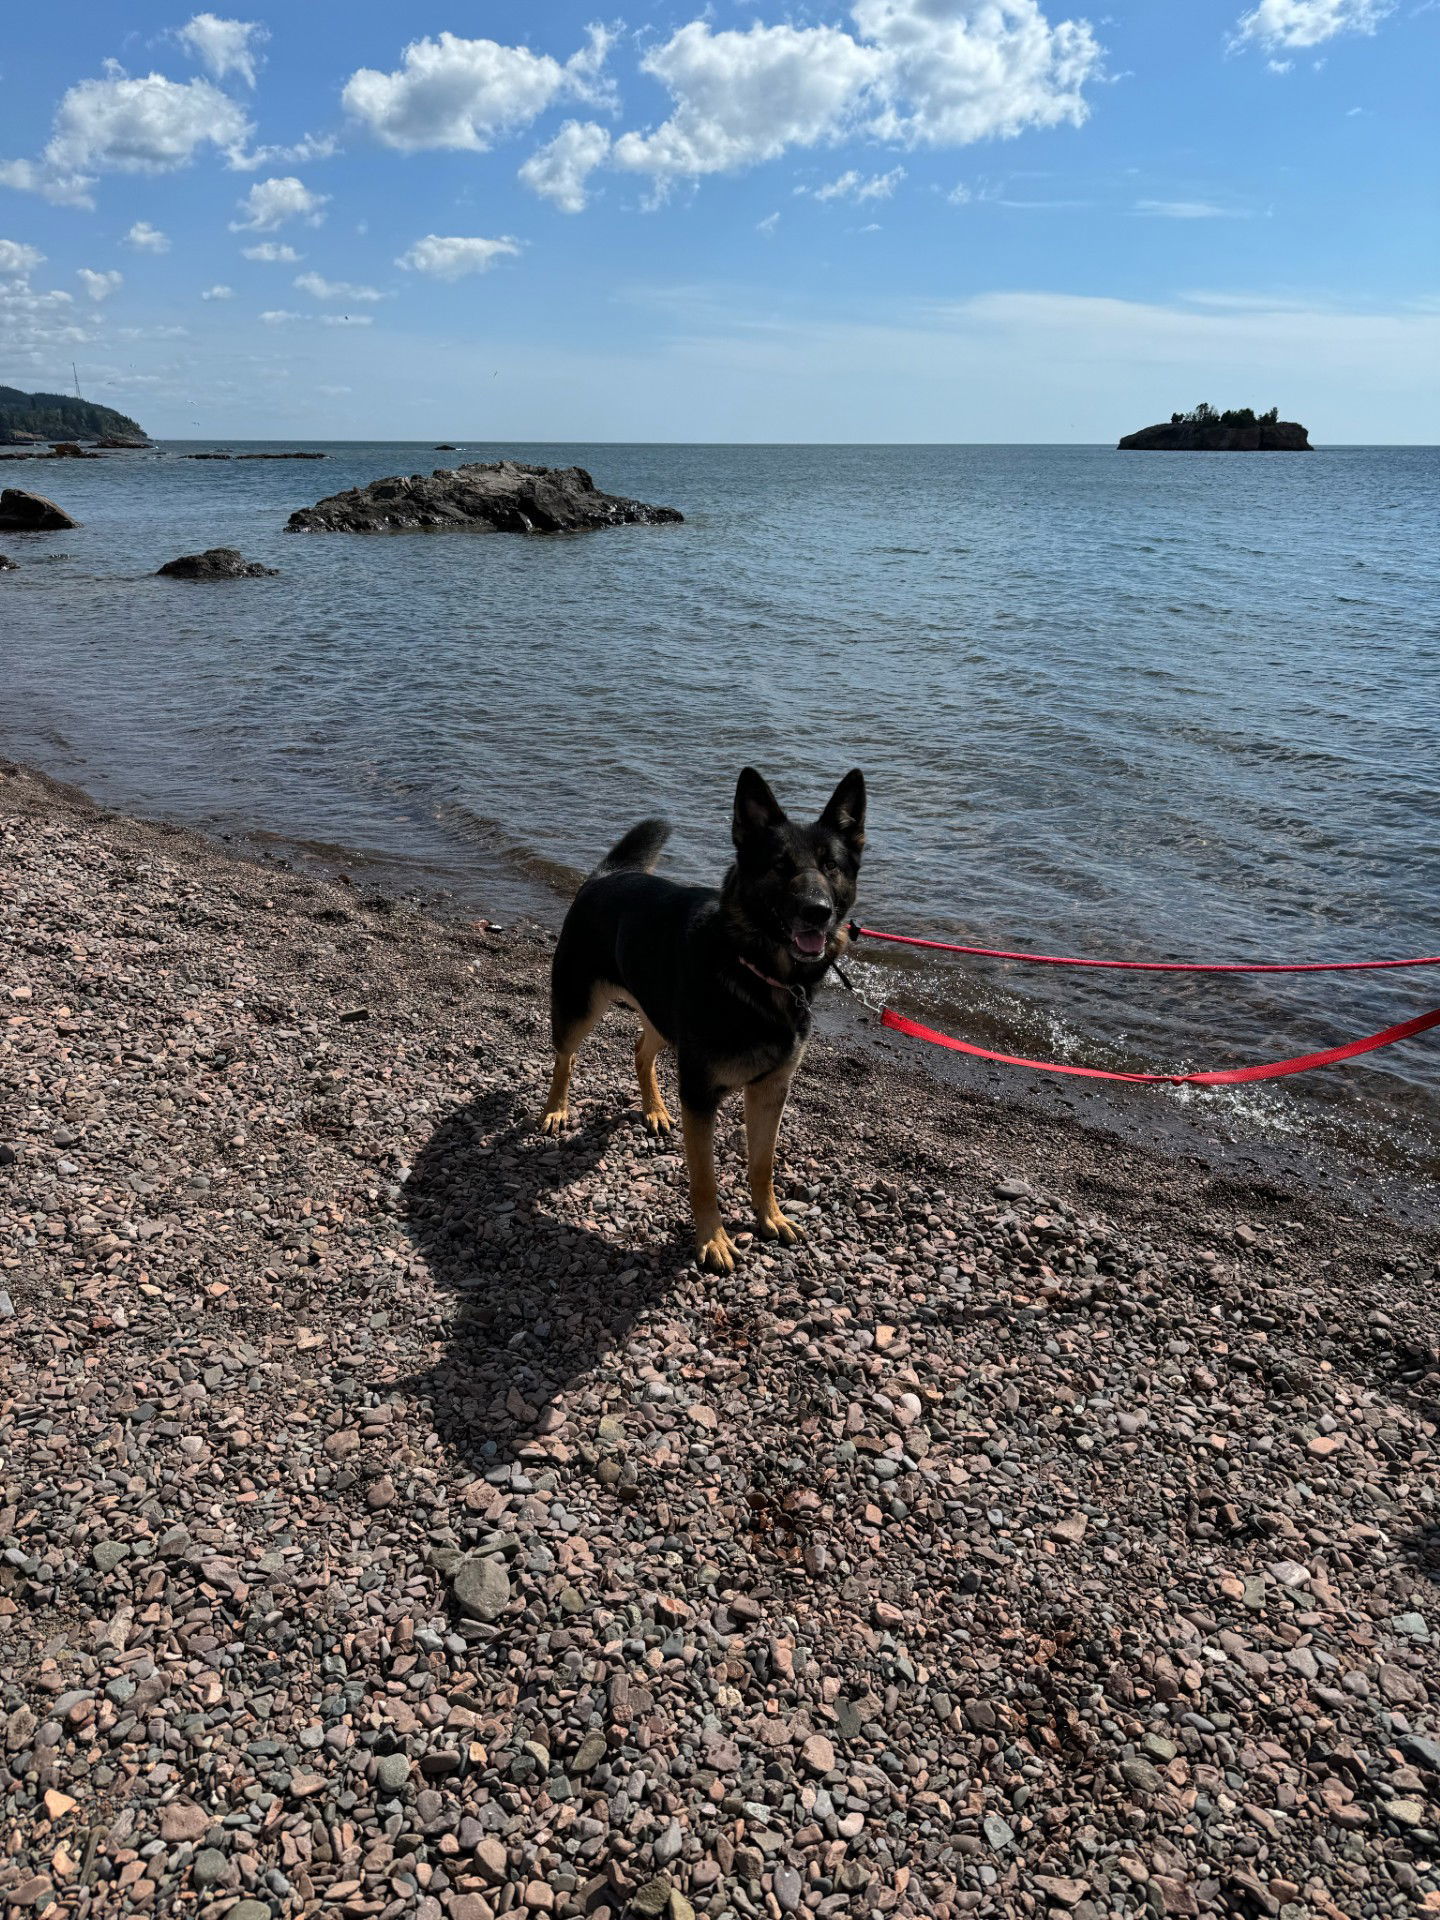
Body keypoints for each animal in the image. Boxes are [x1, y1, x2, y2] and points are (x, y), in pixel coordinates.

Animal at [545, 764, 867, 1274]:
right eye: (781, 866)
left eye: (831, 866)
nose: (817, 912)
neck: (756, 970)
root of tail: (607, 875)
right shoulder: (699, 1096)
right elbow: (705, 1178)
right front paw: (712, 1239)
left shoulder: (770, 1091)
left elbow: (762, 1164)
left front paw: (770, 1216)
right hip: (580, 1008)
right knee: (566, 1057)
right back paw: (556, 1109)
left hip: (661, 1016)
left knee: (641, 1052)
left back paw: (655, 1109)